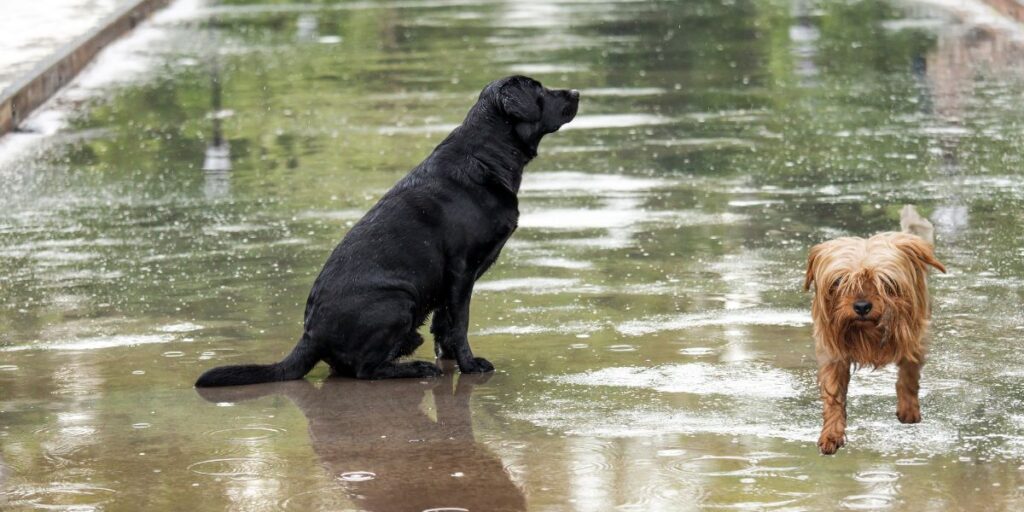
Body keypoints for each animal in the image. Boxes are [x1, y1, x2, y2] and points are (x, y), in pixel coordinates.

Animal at [192, 75, 577, 385]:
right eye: (540, 90)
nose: (575, 91)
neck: (486, 156)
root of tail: (310, 335)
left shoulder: (449, 281)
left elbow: (444, 327)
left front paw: (452, 360)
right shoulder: (461, 271)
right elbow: (460, 324)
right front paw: (469, 366)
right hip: (398, 300)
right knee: (365, 370)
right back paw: (414, 369)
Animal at [802, 205, 946, 454]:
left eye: (885, 283)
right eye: (839, 281)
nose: (861, 306)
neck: (867, 331)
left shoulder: (914, 340)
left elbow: (908, 376)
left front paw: (909, 410)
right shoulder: (833, 355)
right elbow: (833, 396)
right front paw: (831, 434)